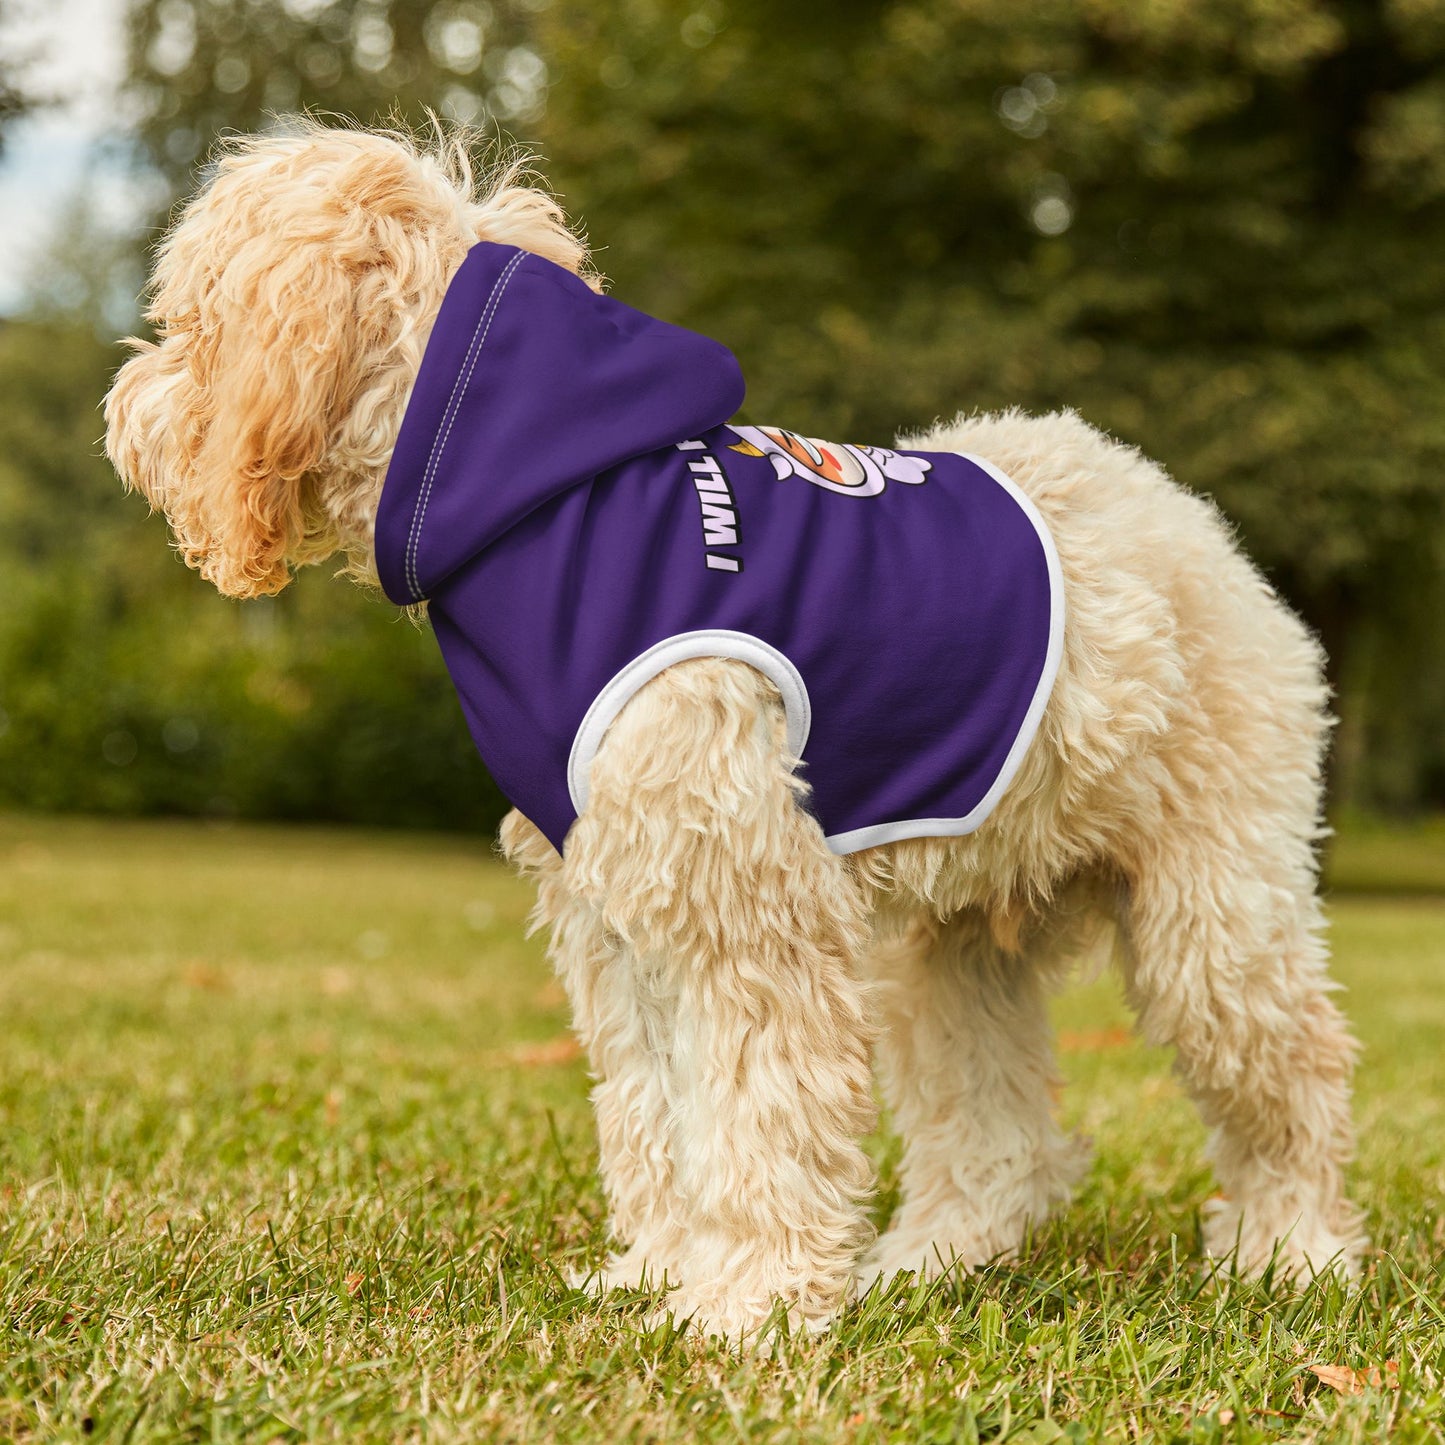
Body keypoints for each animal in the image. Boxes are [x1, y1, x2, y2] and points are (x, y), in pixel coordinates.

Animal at [106, 124, 1358, 1340]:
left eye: (189, 322)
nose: (123, 407)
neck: (546, 500)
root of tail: (1186, 518)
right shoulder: (617, 908)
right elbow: (655, 1109)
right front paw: (662, 1272)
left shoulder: (743, 903)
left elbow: (758, 1112)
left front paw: (745, 1304)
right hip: (951, 946)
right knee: (997, 1134)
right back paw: (931, 1260)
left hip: (1212, 914)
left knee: (1293, 1075)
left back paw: (1290, 1252)